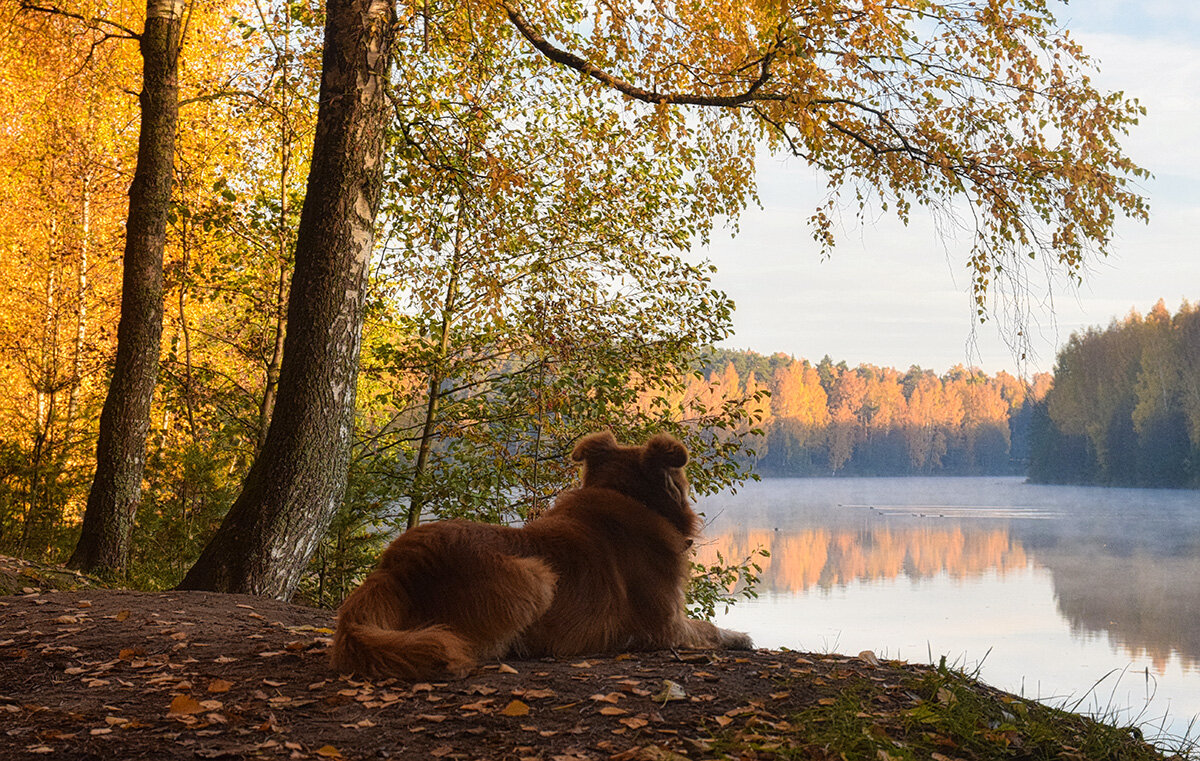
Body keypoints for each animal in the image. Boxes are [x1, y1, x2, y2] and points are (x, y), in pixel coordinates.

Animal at [331, 427, 748, 676]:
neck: (628, 496)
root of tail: (394, 567)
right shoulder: (667, 625)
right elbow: (709, 628)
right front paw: (739, 636)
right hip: (535, 576)